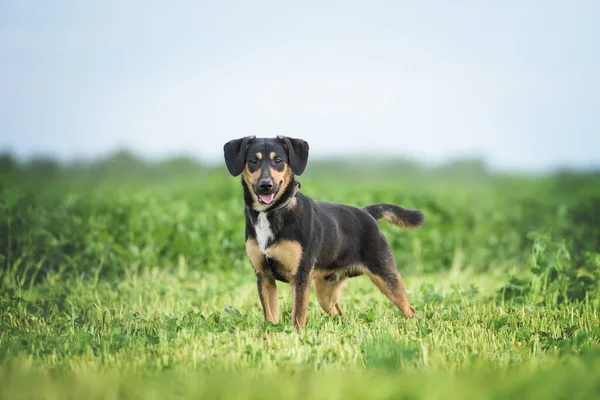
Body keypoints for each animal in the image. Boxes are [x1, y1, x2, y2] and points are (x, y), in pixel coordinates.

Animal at [223, 136, 424, 330]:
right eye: (252, 161)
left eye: (278, 161)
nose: (266, 185)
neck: (272, 212)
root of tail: (366, 213)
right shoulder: (264, 277)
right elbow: (271, 318)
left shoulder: (300, 278)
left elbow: (297, 318)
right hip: (325, 293)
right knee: (339, 313)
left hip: (386, 276)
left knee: (409, 309)